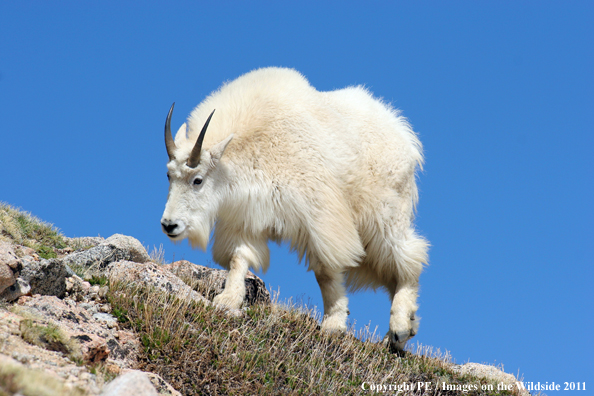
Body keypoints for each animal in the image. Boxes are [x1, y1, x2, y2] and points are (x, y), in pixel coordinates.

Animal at [158, 67, 426, 350]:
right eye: (168, 176)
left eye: (197, 180)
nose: (169, 225)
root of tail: (403, 135)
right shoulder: (245, 217)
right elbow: (238, 257)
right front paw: (227, 300)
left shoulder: (318, 212)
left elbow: (325, 270)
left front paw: (333, 323)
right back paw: (399, 333)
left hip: (385, 214)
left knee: (409, 257)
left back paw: (399, 328)